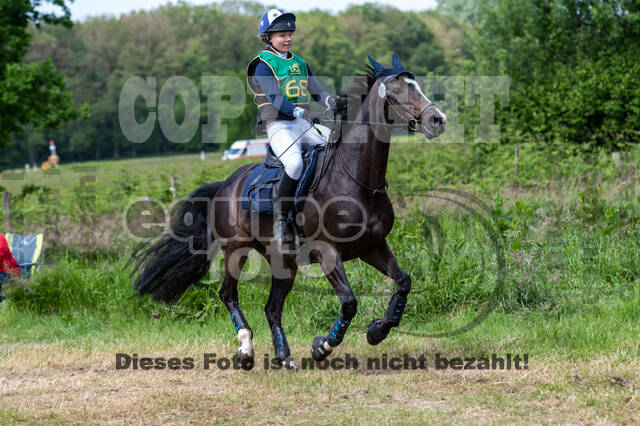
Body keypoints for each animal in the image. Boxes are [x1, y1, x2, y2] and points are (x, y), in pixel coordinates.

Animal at [130, 54, 447, 370]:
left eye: (418, 86)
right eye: (395, 92)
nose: (438, 120)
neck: (357, 181)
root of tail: (226, 184)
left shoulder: (372, 246)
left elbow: (403, 282)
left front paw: (377, 330)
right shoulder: (328, 252)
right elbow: (348, 302)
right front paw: (322, 346)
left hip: (284, 261)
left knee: (272, 308)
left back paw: (284, 356)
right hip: (235, 250)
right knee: (228, 294)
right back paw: (246, 350)